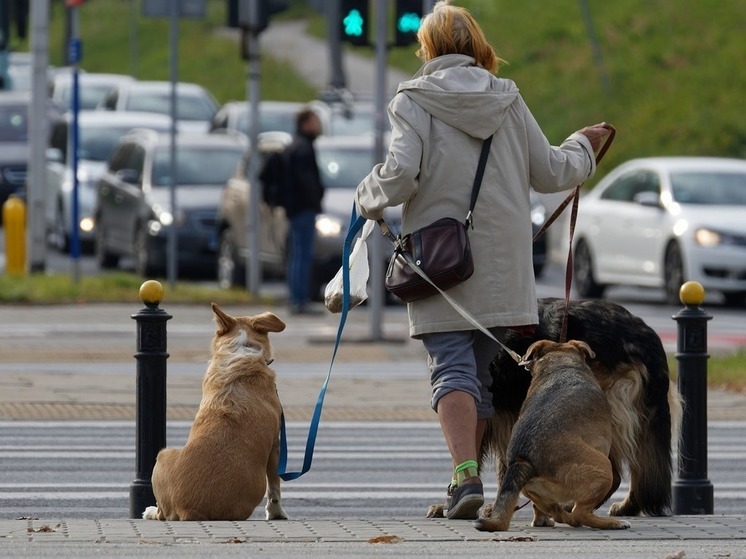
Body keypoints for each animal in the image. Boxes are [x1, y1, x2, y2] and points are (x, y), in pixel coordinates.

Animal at [142, 304, 288, 524]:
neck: (241, 349)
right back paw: (150, 511)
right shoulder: (275, 446)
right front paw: (276, 513)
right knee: (161, 513)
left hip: (163, 456)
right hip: (162, 454)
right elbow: (274, 488)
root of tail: (189, 510)